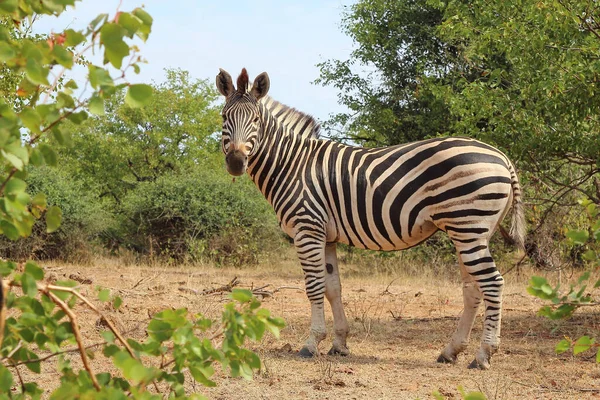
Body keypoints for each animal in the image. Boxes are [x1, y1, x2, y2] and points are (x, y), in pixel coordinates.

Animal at [216, 68, 524, 368]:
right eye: (224, 117)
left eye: (256, 119)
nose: (235, 163)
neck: (291, 164)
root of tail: (502, 157)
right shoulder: (326, 236)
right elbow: (333, 288)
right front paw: (339, 343)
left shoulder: (307, 229)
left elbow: (314, 287)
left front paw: (311, 343)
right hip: (471, 232)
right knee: (473, 289)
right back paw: (451, 352)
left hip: (468, 226)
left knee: (493, 283)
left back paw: (483, 355)